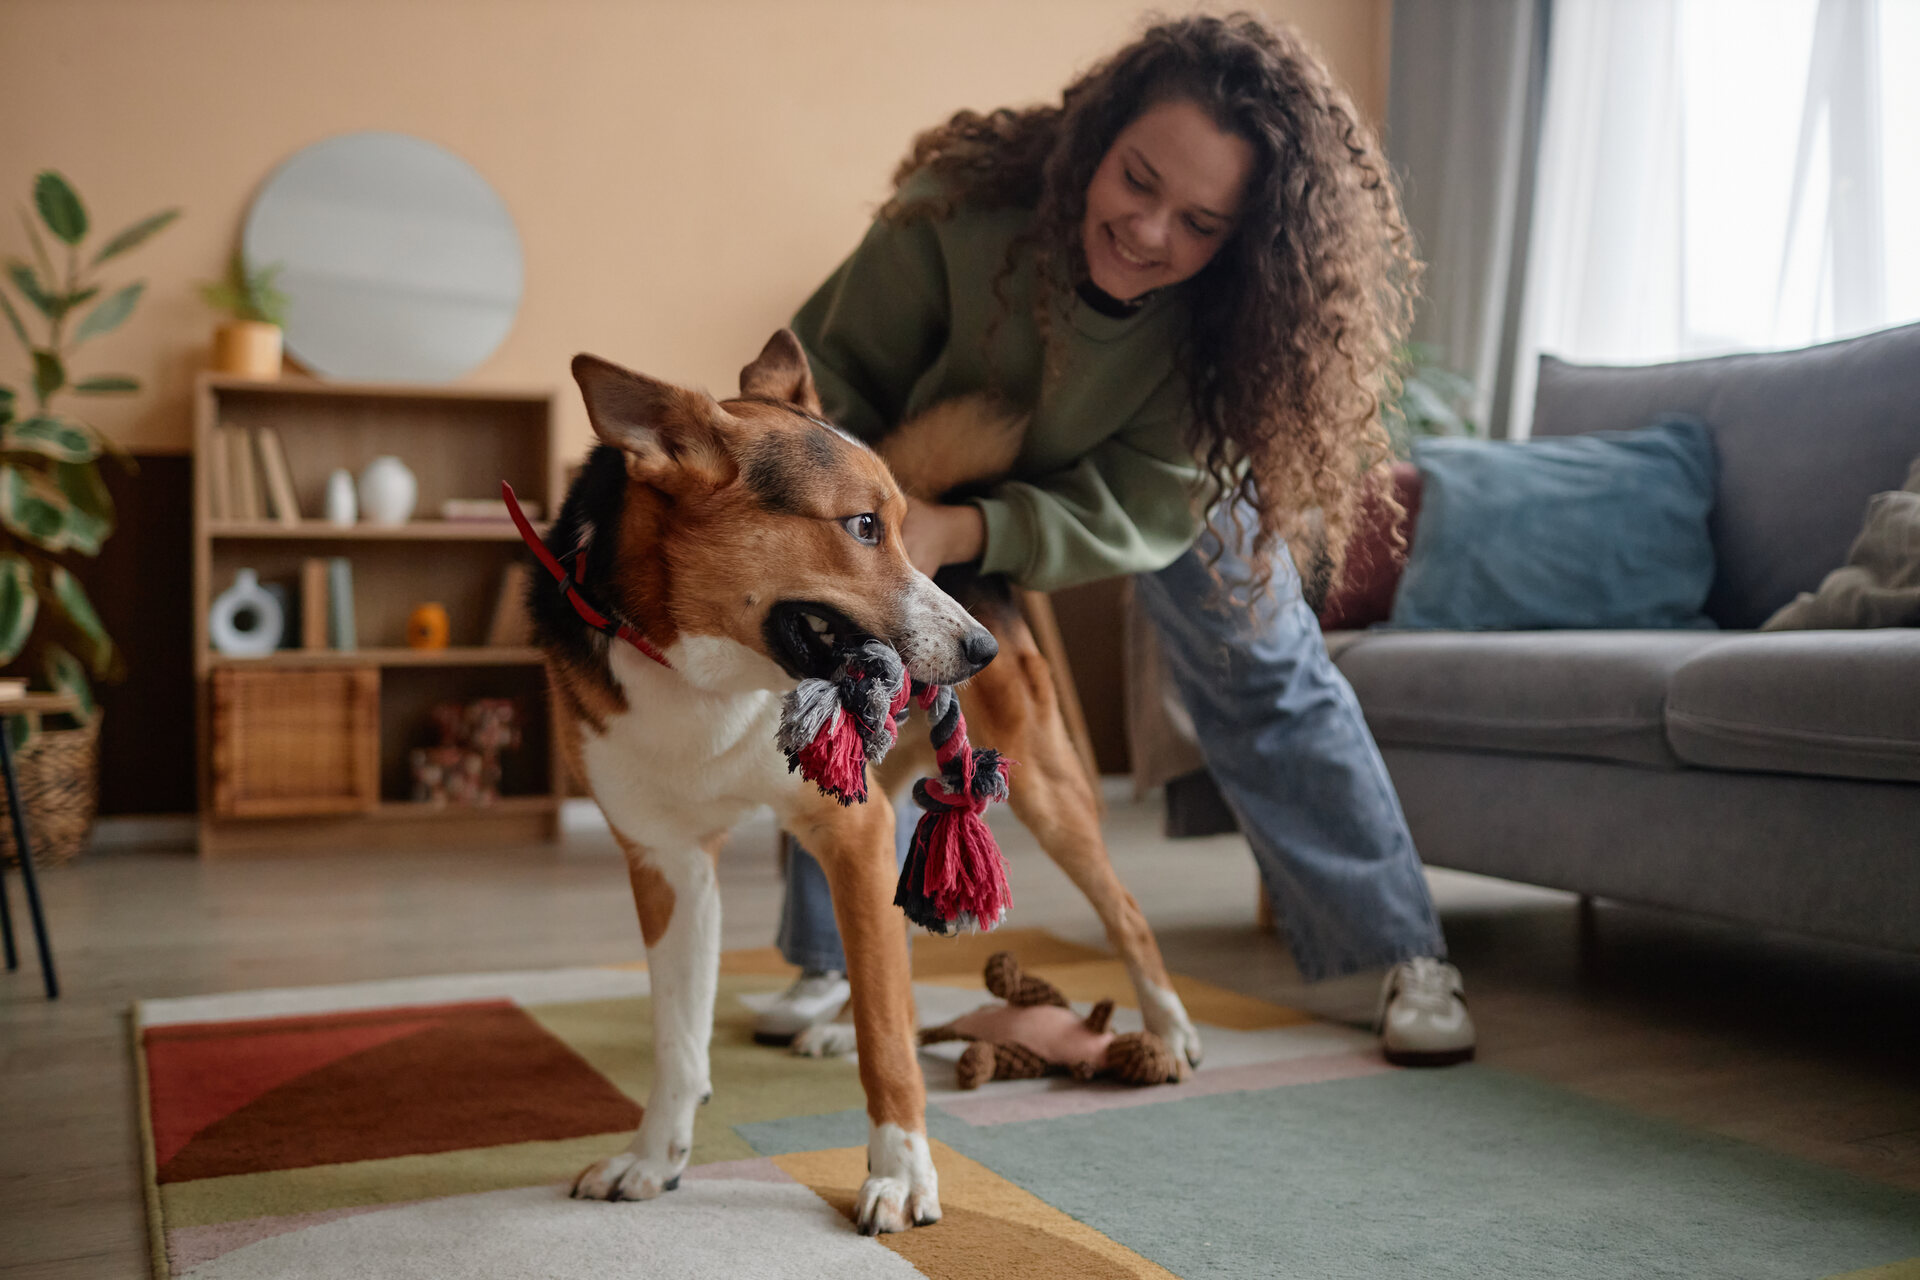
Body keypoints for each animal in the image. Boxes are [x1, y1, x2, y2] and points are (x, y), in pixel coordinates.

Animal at [533, 330, 1190, 1228]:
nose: (979, 651)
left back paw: (1169, 1027)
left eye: (899, 530)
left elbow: (887, 1031)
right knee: (895, 934)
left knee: (1121, 909)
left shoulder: (849, 826)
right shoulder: (669, 863)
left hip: (1045, 793)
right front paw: (654, 1158)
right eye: (864, 527)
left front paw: (902, 1171)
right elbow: (678, 1039)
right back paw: (835, 1024)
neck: (709, 677)